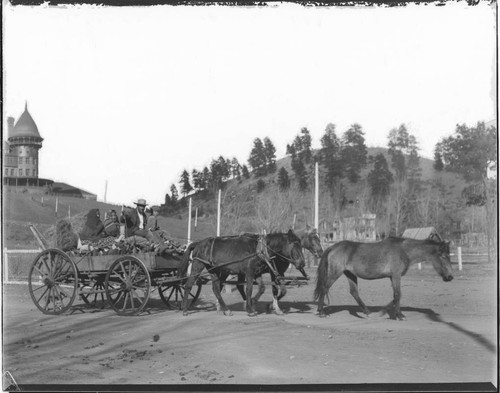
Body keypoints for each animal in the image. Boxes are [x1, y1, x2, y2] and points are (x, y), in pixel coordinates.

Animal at [314, 237, 456, 320]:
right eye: (444, 256)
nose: (450, 276)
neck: (404, 251)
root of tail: (333, 247)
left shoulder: (392, 277)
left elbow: (395, 296)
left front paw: (386, 311)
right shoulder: (396, 275)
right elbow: (398, 294)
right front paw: (399, 315)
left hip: (350, 274)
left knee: (354, 292)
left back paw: (367, 312)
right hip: (335, 273)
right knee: (324, 288)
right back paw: (321, 312)